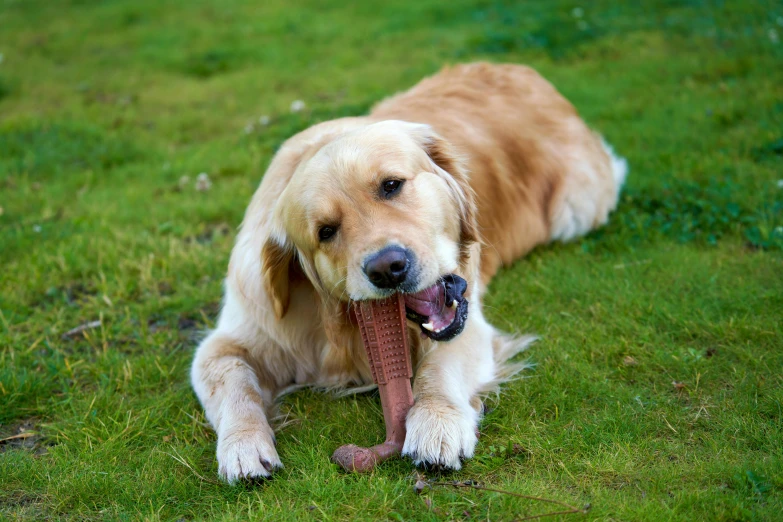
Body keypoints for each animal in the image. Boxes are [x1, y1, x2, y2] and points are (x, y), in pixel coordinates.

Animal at [193, 61, 628, 480]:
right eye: (325, 231)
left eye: (391, 185)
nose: (388, 269)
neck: (339, 327)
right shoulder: (237, 335)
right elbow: (231, 380)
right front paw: (243, 445)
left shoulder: (469, 326)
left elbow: (439, 368)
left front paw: (436, 422)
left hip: (577, 209)